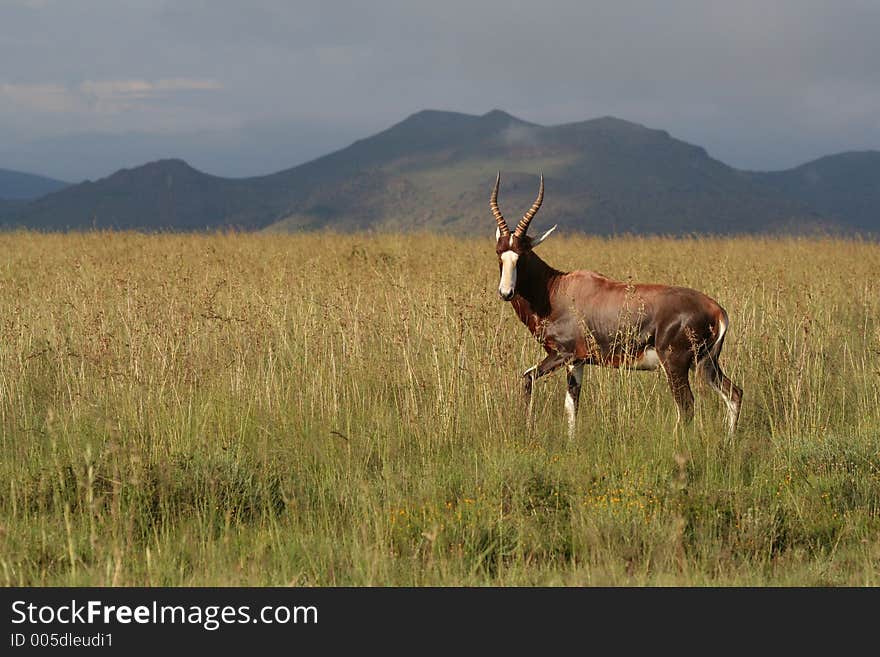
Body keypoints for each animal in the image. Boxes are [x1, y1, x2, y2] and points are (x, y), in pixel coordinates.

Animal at [488, 174, 744, 438]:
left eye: (523, 253)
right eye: (499, 252)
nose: (506, 292)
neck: (557, 289)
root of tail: (717, 310)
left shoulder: (562, 354)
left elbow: (527, 379)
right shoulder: (577, 361)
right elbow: (571, 406)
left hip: (676, 364)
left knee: (687, 406)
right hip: (706, 364)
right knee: (734, 394)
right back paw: (729, 440)